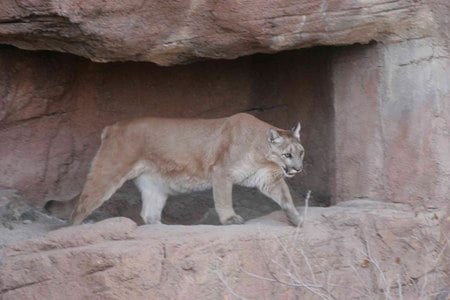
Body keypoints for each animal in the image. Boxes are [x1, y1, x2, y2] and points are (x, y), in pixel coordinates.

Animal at [51, 112, 306, 225]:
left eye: (301, 153)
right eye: (287, 154)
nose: (298, 169)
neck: (262, 153)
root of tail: (113, 126)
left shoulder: (268, 178)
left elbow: (285, 197)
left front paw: (296, 218)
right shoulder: (222, 172)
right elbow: (223, 198)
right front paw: (230, 218)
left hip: (154, 185)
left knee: (149, 214)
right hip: (108, 172)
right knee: (80, 208)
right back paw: (75, 229)